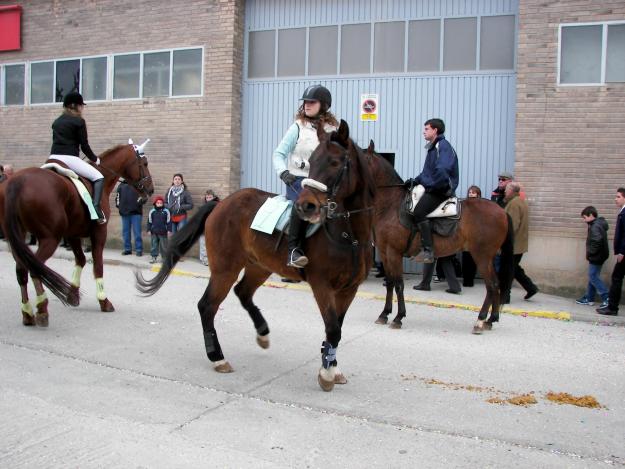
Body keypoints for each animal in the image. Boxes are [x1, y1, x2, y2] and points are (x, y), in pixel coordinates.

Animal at [0, 142, 154, 326]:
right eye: (144, 163)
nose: (151, 189)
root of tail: (18, 181)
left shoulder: (73, 234)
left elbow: (80, 260)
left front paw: (72, 295)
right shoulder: (99, 232)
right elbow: (98, 266)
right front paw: (104, 301)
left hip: (18, 238)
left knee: (22, 269)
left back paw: (28, 313)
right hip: (50, 239)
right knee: (35, 268)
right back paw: (42, 310)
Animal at [134, 119, 372, 390]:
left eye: (334, 162)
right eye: (311, 161)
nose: (306, 206)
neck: (349, 236)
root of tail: (220, 203)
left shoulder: (348, 289)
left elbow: (337, 329)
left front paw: (332, 365)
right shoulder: (321, 285)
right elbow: (332, 329)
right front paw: (326, 374)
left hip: (259, 266)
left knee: (242, 292)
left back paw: (263, 333)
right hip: (225, 269)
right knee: (207, 305)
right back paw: (218, 357)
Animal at [366, 140, 512, 332]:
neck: (390, 206)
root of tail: (502, 211)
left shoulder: (394, 253)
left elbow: (398, 284)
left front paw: (398, 317)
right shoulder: (384, 252)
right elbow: (390, 282)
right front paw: (384, 314)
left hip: (482, 256)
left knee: (492, 285)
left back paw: (481, 320)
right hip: (486, 257)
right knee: (494, 285)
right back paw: (490, 319)